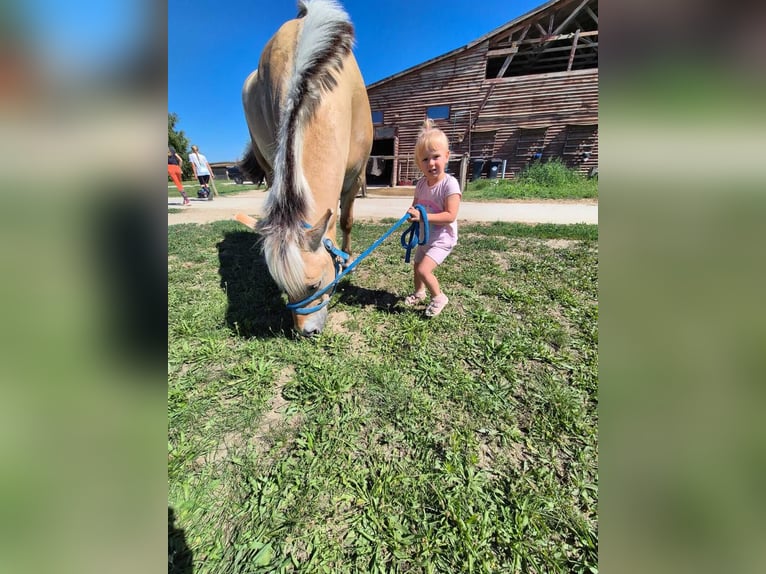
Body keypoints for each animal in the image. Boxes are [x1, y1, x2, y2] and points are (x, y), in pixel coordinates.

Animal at [239, 0, 372, 337]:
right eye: (283, 289)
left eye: (313, 285)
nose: (305, 332)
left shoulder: (355, 177)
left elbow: (347, 221)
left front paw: (348, 259)